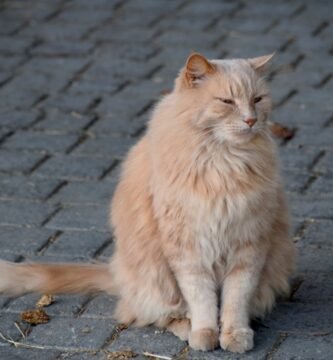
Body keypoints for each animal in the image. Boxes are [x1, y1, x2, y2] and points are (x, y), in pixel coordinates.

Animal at [0, 52, 296, 352]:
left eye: (257, 99)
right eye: (227, 102)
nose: (250, 120)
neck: (223, 163)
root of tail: (116, 270)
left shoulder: (249, 244)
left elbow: (236, 299)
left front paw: (235, 334)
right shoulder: (187, 250)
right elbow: (201, 298)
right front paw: (205, 333)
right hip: (155, 279)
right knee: (157, 313)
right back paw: (187, 328)